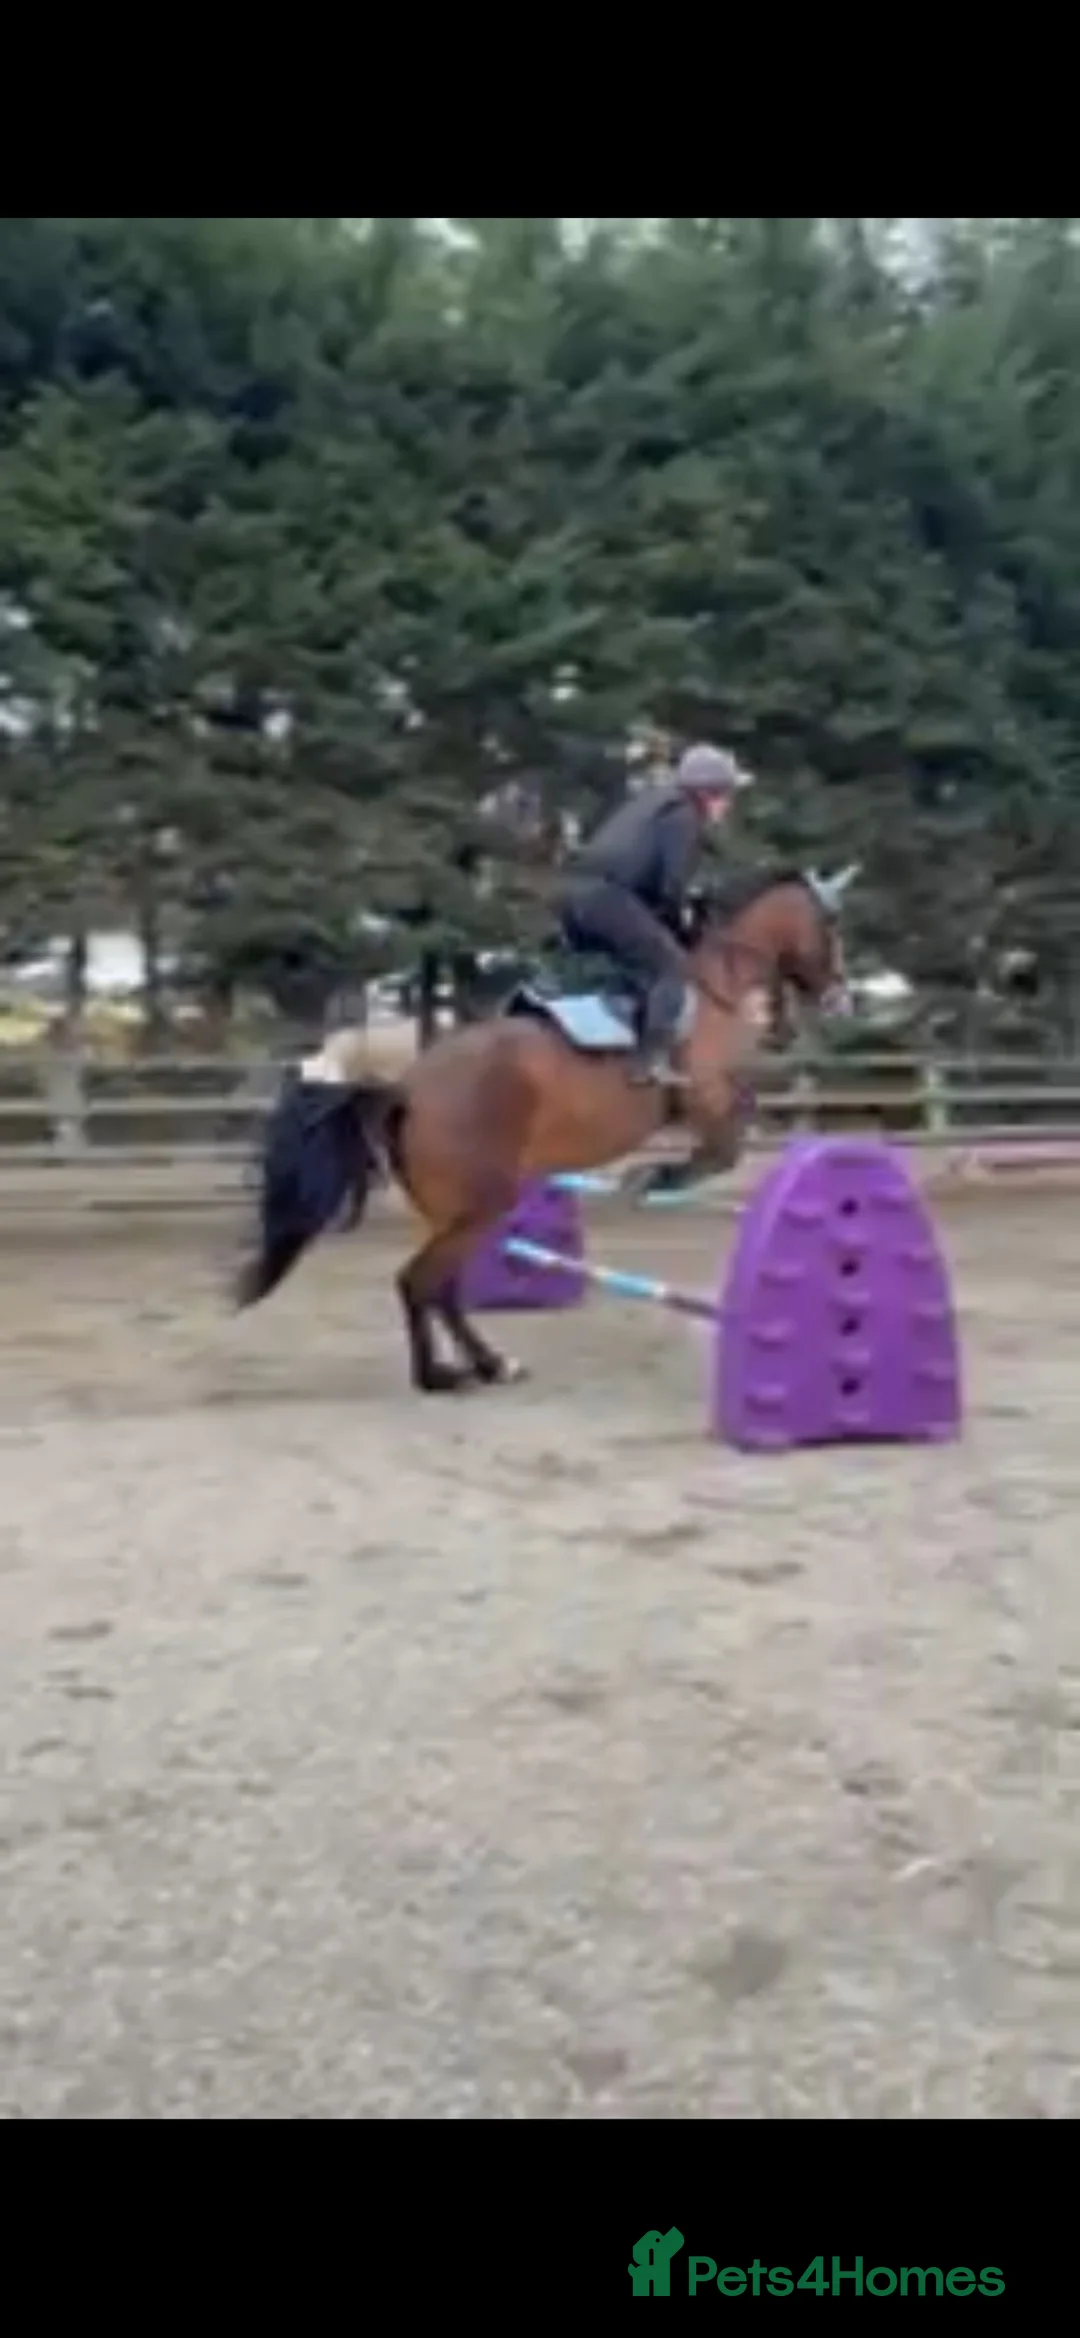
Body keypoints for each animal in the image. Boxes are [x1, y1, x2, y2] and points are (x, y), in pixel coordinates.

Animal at [234, 864, 857, 1393]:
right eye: (829, 926)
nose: (841, 996)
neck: (714, 988)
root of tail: (406, 1088)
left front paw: (656, 1176)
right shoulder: (707, 1096)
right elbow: (728, 1141)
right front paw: (658, 1176)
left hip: (457, 1210)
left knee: (441, 1286)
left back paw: (488, 1365)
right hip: (481, 1204)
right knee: (419, 1282)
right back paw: (442, 1375)